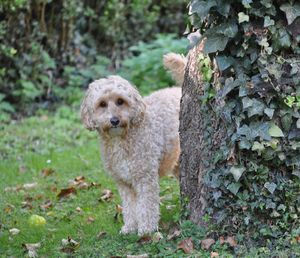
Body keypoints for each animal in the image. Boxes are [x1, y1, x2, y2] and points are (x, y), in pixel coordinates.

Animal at [81, 52, 186, 236]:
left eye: (120, 101)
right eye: (102, 104)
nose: (114, 120)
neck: (121, 139)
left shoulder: (145, 178)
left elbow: (146, 206)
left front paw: (146, 230)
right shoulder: (123, 182)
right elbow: (130, 207)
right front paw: (129, 227)